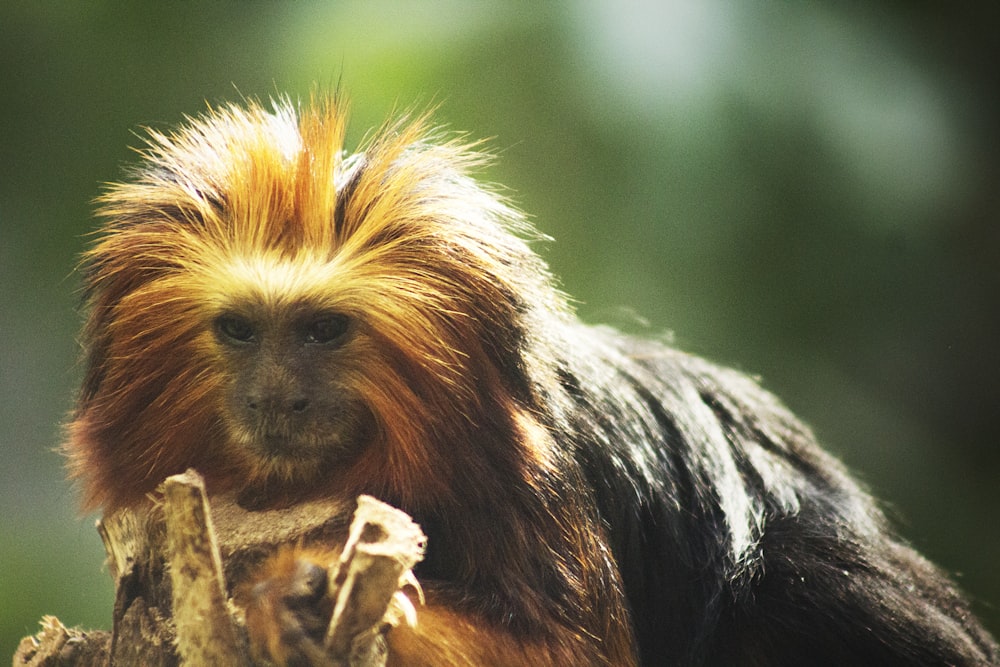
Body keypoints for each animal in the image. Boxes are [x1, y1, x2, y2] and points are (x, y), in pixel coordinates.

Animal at [66, 95, 996, 667]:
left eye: (324, 331)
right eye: (240, 330)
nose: (275, 399)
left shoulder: (537, 485)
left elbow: (570, 652)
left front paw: (289, 592)